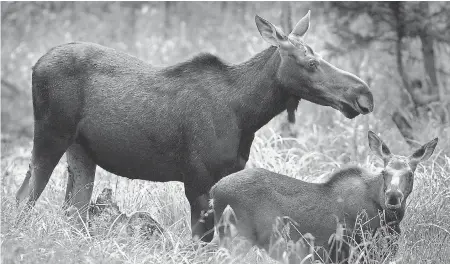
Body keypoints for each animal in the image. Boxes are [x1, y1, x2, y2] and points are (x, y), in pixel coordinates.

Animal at [15, 10, 374, 241]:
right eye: (311, 63)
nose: (364, 94)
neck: (247, 114)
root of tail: (34, 65)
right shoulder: (198, 182)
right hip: (50, 135)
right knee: (24, 196)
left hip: (81, 151)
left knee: (73, 211)